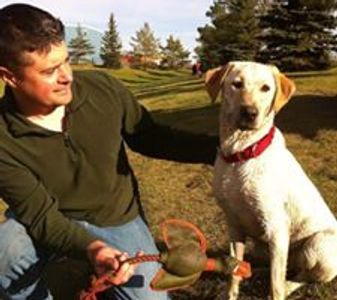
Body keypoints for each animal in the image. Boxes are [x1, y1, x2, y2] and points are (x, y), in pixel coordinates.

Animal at [206, 61, 337, 300]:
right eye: (236, 84)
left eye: (266, 88)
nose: (249, 112)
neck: (241, 155)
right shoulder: (234, 226)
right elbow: (234, 272)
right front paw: (233, 292)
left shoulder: (276, 228)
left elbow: (275, 287)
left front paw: (277, 289)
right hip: (268, 246)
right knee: (282, 267)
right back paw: (256, 271)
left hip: (317, 245)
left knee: (302, 276)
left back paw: (287, 285)